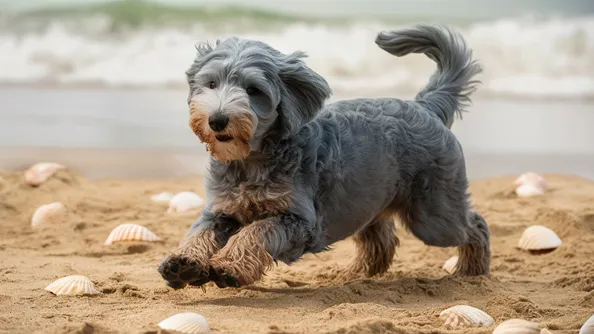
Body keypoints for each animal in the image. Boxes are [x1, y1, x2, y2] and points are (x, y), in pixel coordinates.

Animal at [155, 24, 488, 290]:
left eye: (253, 90)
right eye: (211, 84)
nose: (217, 120)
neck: (250, 161)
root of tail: (425, 106)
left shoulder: (300, 221)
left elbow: (255, 231)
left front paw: (228, 265)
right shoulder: (221, 210)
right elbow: (199, 232)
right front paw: (183, 261)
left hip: (433, 216)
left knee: (475, 224)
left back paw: (473, 270)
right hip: (368, 201)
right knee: (381, 239)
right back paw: (354, 275)